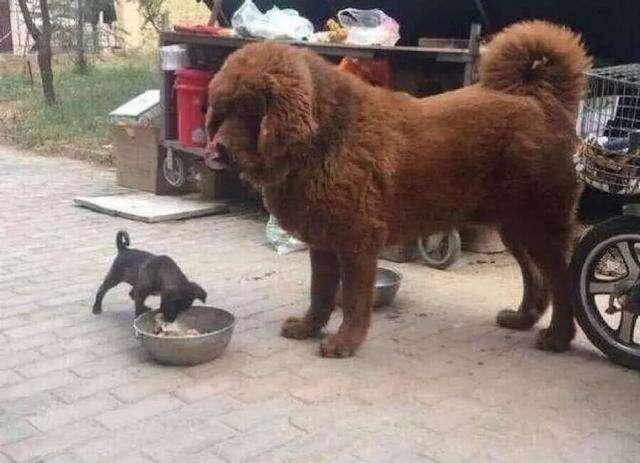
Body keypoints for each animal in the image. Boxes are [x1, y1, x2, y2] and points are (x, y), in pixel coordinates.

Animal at [205, 20, 592, 358]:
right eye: (221, 113)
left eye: (250, 112)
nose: (216, 150)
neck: (321, 140)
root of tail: (541, 98)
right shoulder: (323, 241)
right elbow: (321, 292)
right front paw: (308, 327)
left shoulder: (358, 241)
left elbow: (354, 300)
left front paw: (345, 342)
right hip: (515, 226)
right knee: (536, 277)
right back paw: (522, 319)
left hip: (540, 225)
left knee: (561, 281)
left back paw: (558, 337)